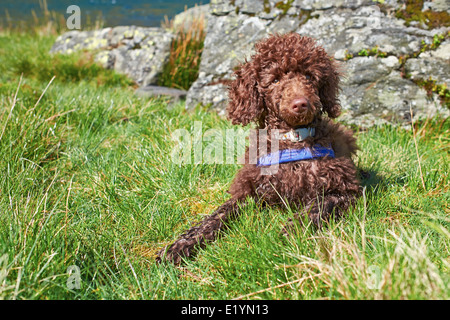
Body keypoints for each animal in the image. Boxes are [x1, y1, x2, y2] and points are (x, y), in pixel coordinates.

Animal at [158, 32, 362, 264]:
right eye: (275, 80)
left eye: (310, 77)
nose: (300, 104)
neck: (292, 140)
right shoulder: (248, 191)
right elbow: (216, 215)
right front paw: (181, 244)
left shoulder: (345, 191)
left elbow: (318, 207)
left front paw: (292, 230)